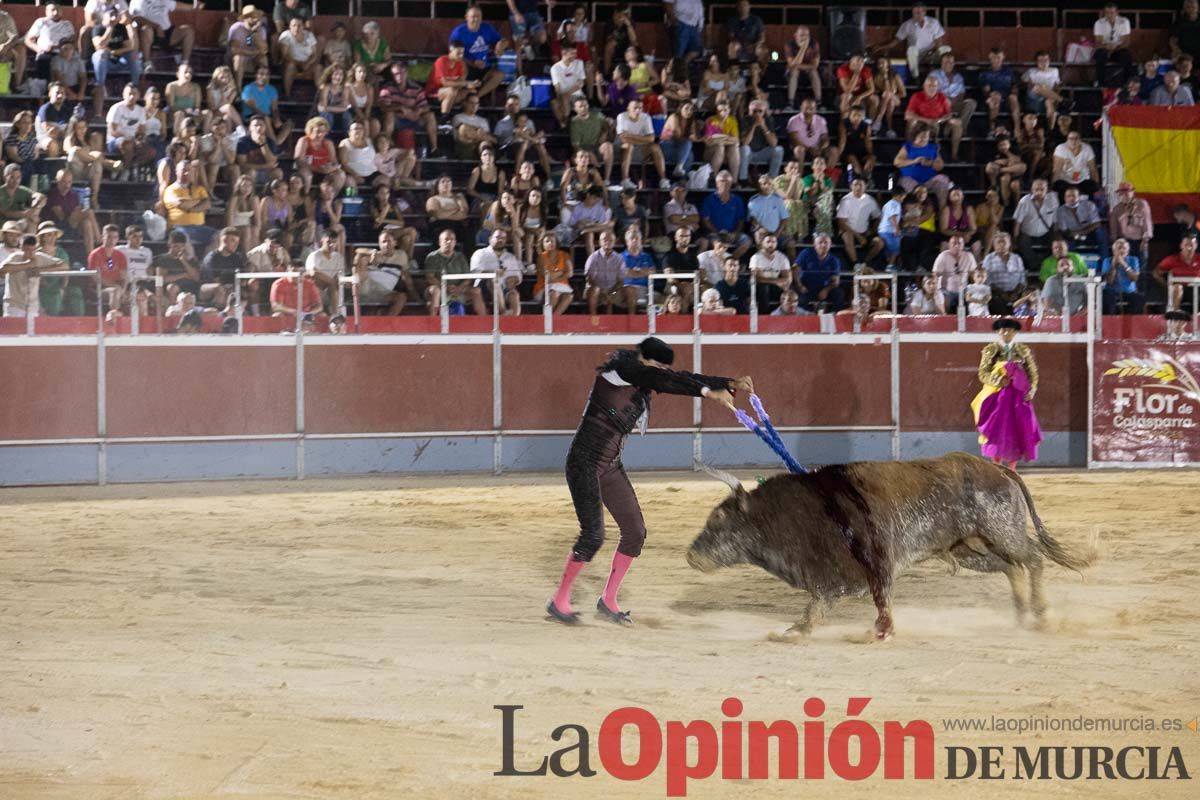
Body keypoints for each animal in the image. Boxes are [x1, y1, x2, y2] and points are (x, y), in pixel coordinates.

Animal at [686, 453, 1089, 642]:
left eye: (718, 518)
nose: (691, 554)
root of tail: (997, 468)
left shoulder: (876, 562)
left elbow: (881, 599)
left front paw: (880, 633)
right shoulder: (830, 580)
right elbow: (815, 609)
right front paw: (794, 632)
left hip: (1002, 529)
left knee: (1032, 559)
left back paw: (1041, 614)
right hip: (969, 548)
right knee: (1011, 567)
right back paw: (1022, 615)